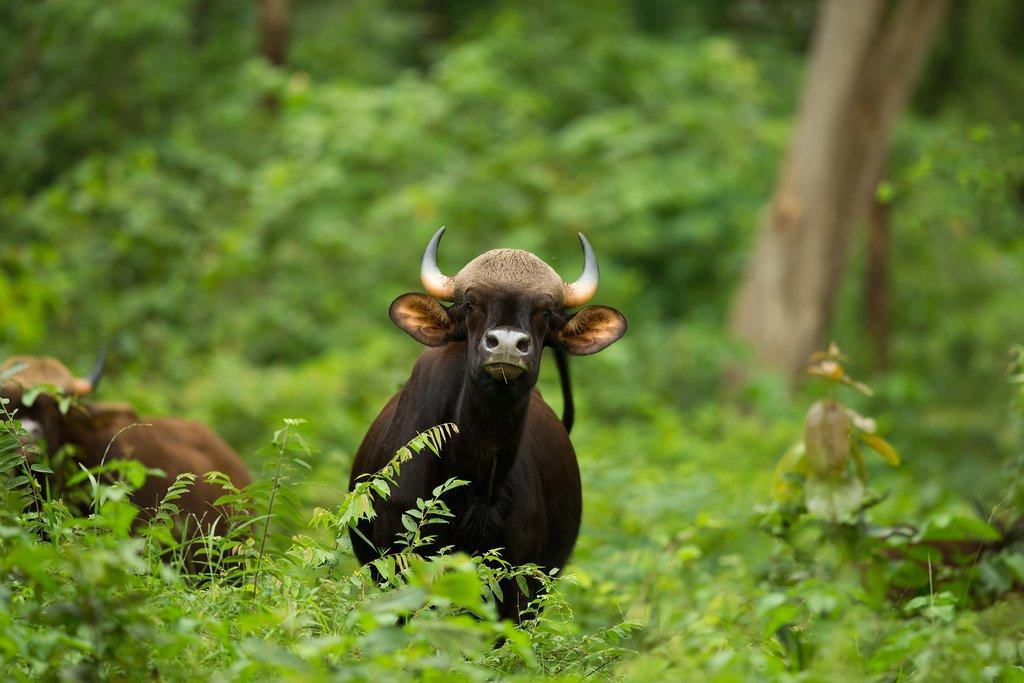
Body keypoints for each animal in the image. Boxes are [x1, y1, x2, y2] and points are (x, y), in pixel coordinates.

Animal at [349, 229, 627, 621]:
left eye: (546, 310)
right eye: (470, 304)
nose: (506, 345)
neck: (473, 488)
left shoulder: (518, 586)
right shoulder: (399, 571)